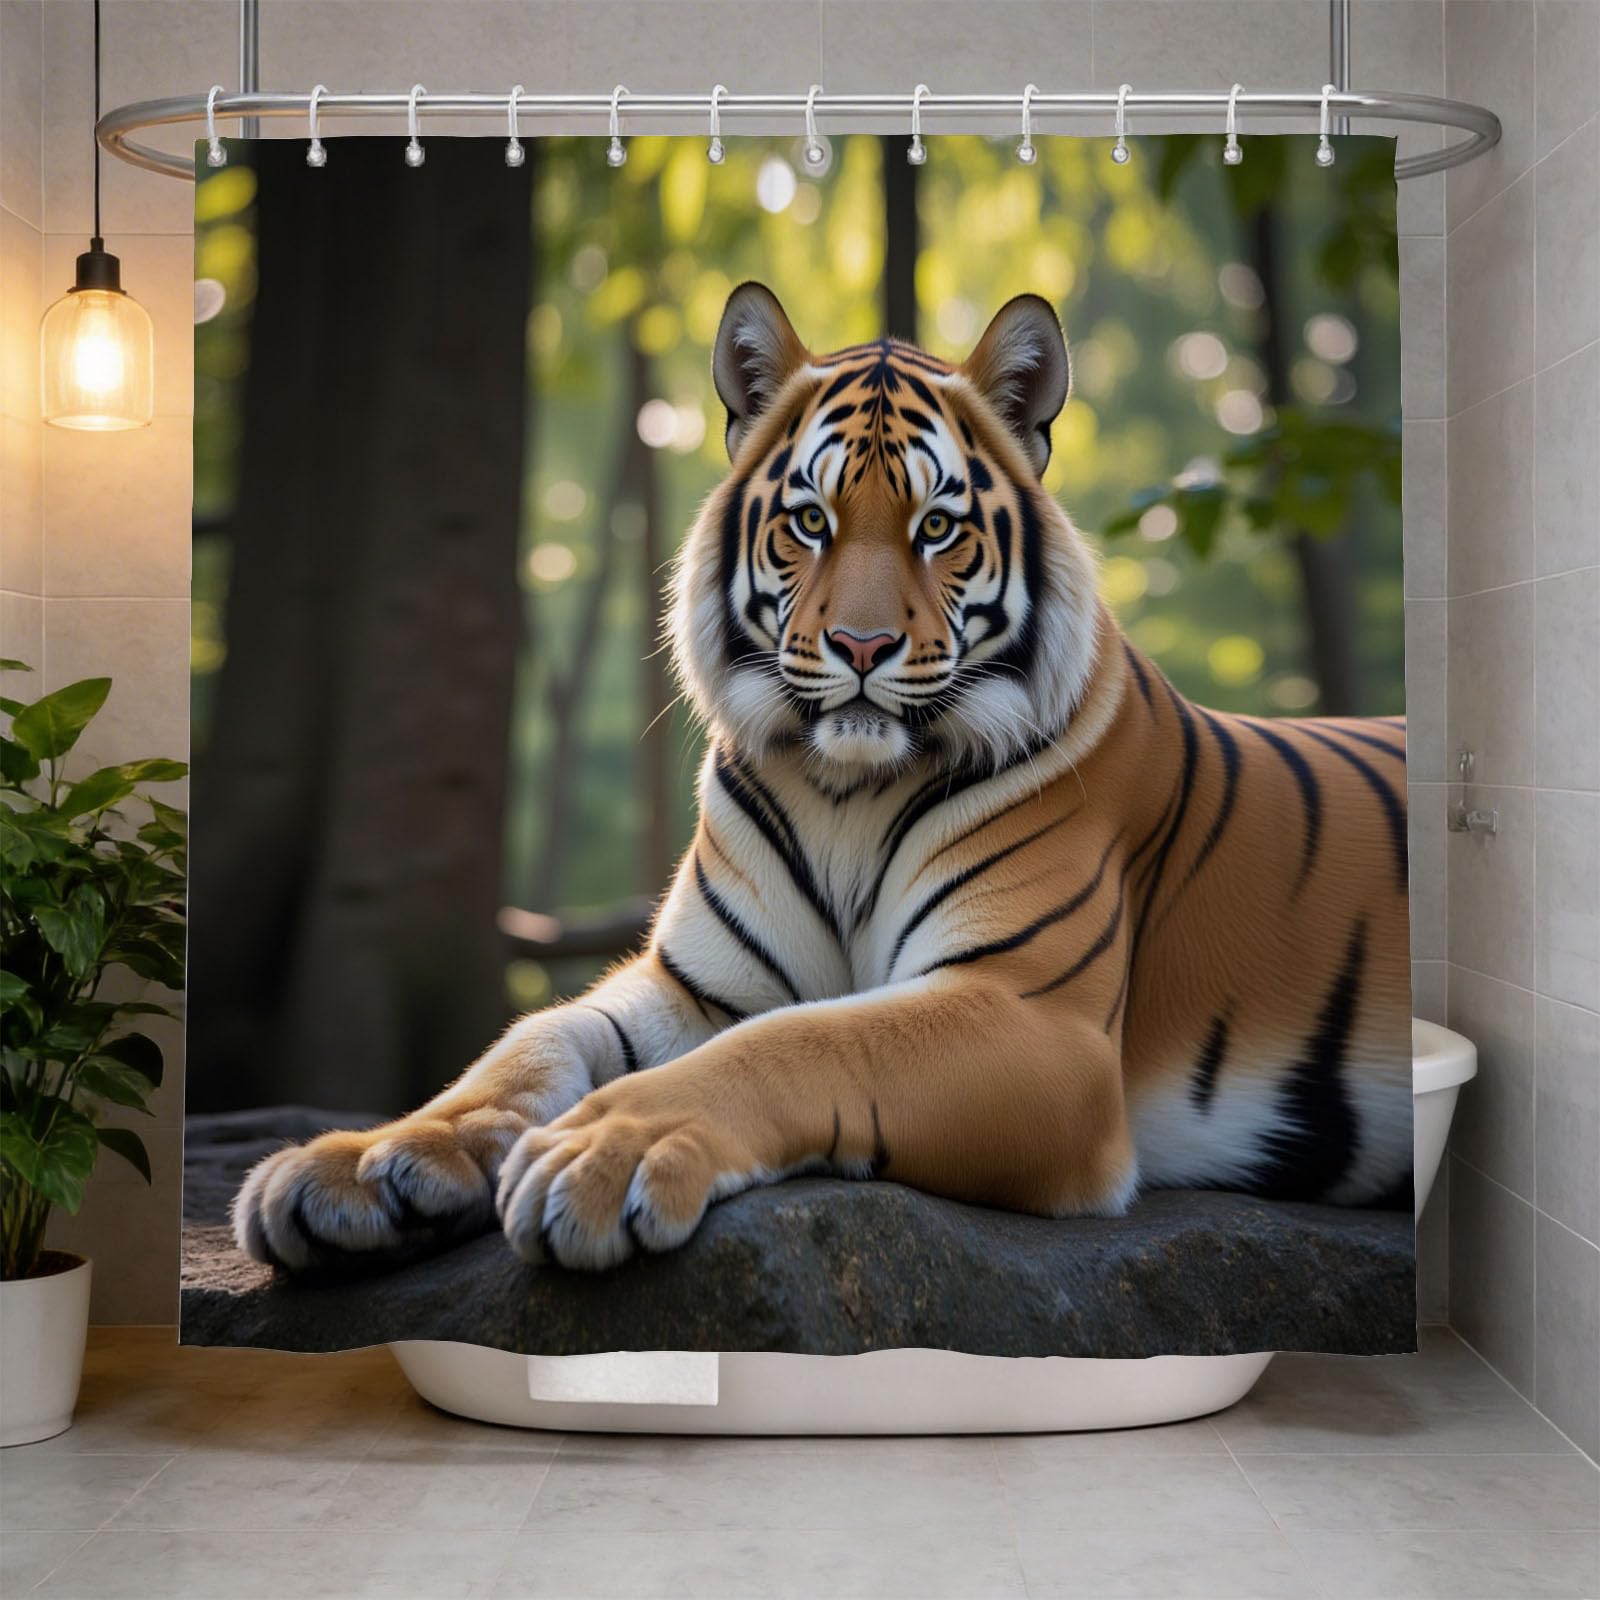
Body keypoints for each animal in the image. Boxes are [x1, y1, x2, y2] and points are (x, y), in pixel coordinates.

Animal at [232, 281, 1413, 1276]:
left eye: (937, 528)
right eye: (811, 520)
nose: (860, 646)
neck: (845, 792)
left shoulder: (1034, 1016)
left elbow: (805, 1039)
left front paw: (602, 1152)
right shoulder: (695, 983)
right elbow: (531, 1041)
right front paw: (365, 1160)